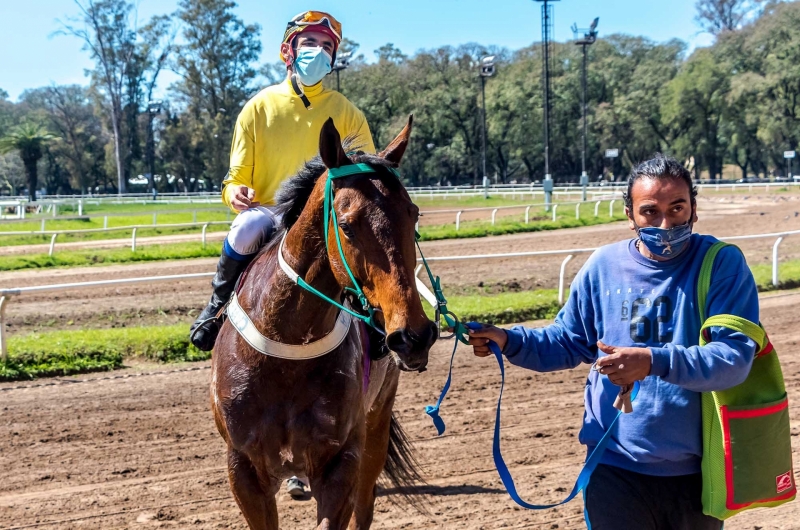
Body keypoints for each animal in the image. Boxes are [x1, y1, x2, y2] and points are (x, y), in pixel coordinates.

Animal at [211, 116, 438, 528]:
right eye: (346, 225)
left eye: (413, 214)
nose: (414, 336)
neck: (287, 349)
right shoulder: (244, 467)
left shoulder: (341, 461)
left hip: (377, 423)